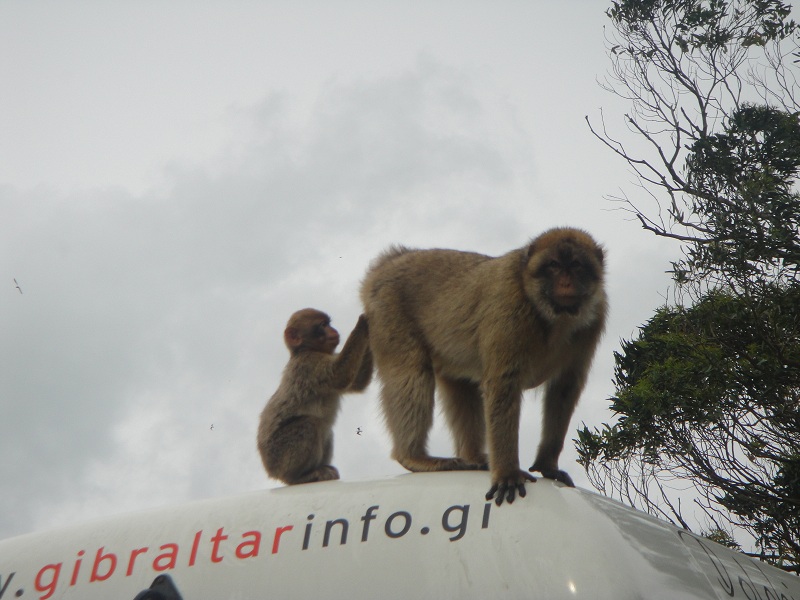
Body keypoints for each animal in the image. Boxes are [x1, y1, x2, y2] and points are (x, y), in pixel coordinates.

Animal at [257, 309, 372, 485]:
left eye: (328, 324)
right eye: (323, 325)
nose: (333, 330)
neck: (305, 350)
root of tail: (270, 470)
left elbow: (358, 382)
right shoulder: (308, 364)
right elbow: (340, 375)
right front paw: (363, 322)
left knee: (325, 430)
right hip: (279, 455)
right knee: (310, 424)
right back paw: (298, 477)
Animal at [360, 227, 607, 505]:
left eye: (575, 265)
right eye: (553, 266)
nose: (565, 283)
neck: (554, 318)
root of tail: (390, 261)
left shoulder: (595, 317)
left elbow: (564, 389)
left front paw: (547, 465)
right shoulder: (509, 306)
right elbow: (503, 385)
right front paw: (507, 473)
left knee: (459, 385)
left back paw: (473, 457)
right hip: (388, 311)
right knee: (411, 373)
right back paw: (414, 457)